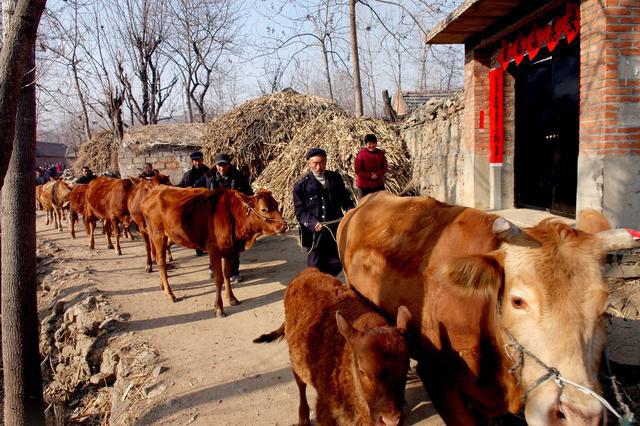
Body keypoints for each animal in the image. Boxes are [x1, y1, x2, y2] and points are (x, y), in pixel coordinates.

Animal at [144, 186, 288, 316]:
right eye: (264, 209)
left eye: (276, 204)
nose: (284, 226)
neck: (233, 215)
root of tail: (154, 190)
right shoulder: (214, 251)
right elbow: (218, 278)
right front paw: (219, 307)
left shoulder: (229, 251)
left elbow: (226, 275)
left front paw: (232, 298)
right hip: (158, 235)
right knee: (161, 262)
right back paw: (170, 293)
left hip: (170, 237)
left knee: (161, 260)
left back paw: (162, 285)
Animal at [254, 270, 410, 426]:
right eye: (362, 371)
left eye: (406, 369)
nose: (391, 420)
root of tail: (307, 272)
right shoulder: (325, 410)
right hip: (295, 360)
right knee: (300, 384)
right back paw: (303, 418)